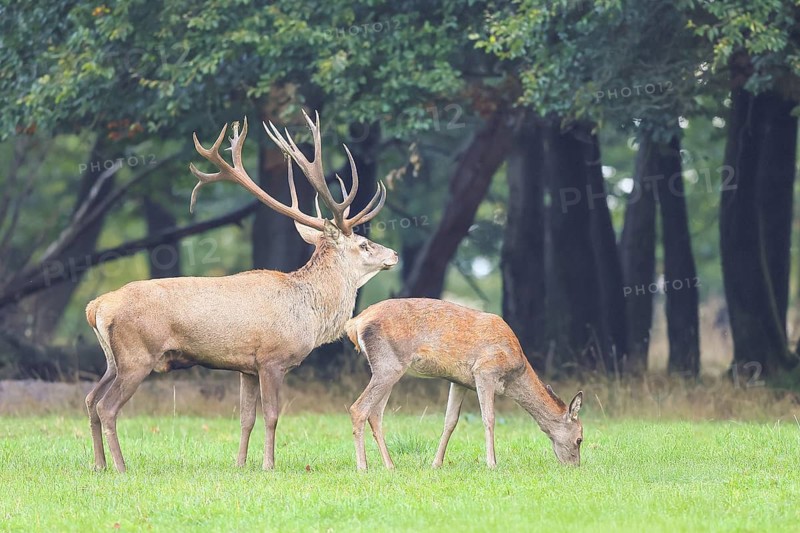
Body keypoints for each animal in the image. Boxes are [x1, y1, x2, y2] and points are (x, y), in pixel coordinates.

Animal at [84, 111, 398, 473]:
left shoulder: (246, 367)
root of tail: (96, 306)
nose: (394, 254)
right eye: (363, 244)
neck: (309, 314)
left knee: (90, 399)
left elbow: (246, 418)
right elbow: (272, 415)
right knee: (107, 406)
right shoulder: (272, 359)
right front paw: (269, 465)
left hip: (112, 359)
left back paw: (99, 464)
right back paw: (120, 467)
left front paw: (240, 463)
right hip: (137, 355)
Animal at [345, 298, 583, 470]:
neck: (515, 370)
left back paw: (390, 465)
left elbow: (450, 421)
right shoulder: (485, 371)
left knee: (376, 414)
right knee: (358, 408)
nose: (575, 466)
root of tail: (354, 324)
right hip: (389, 364)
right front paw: (492, 463)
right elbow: (489, 418)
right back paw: (363, 467)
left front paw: (436, 463)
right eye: (580, 439)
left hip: (389, 368)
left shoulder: (459, 382)